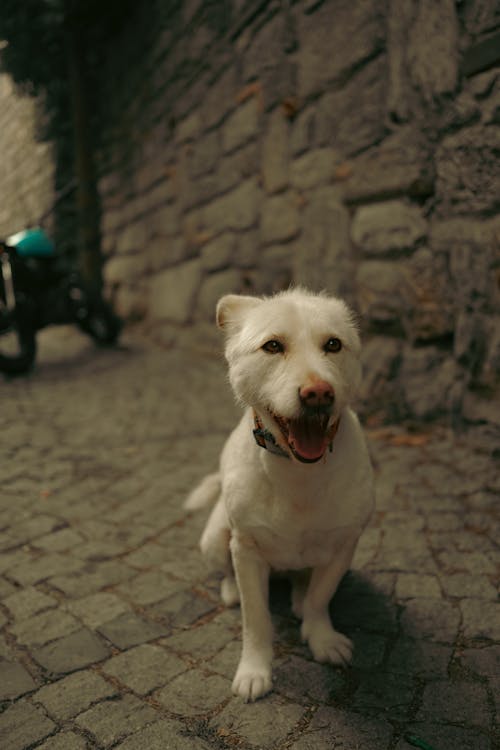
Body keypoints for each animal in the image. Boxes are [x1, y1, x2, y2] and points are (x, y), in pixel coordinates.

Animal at [186, 290, 374, 704]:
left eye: (333, 344)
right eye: (273, 346)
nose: (318, 393)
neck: (298, 474)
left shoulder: (344, 547)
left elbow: (321, 598)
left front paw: (321, 638)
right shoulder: (247, 549)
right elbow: (256, 620)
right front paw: (254, 670)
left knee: (305, 583)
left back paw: (299, 595)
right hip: (215, 539)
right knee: (227, 569)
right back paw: (230, 590)